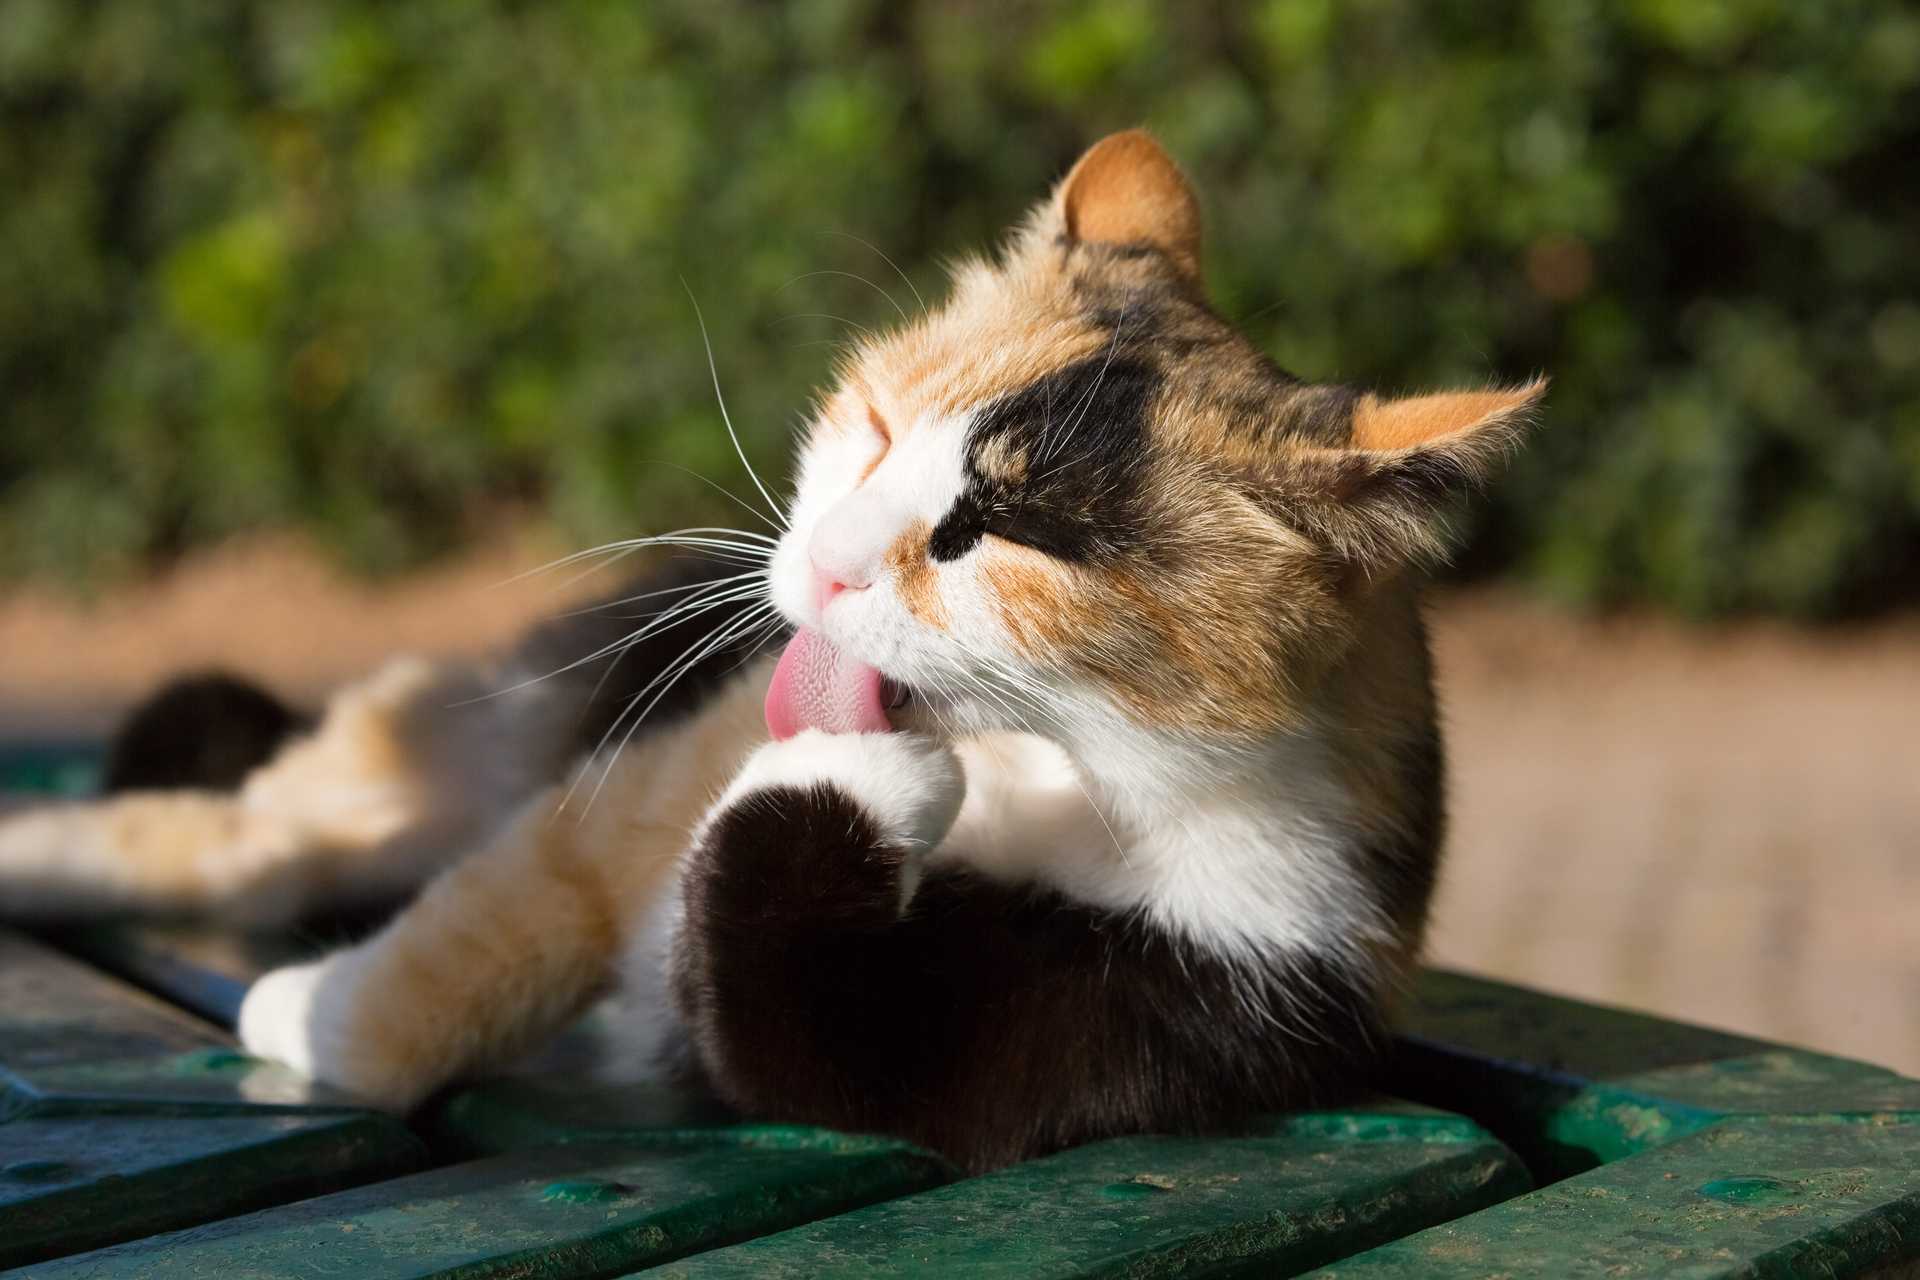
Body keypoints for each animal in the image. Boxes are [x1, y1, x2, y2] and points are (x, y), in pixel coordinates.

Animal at [0, 132, 1536, 1174]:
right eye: (875, 426)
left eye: (1005, 530)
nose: (831, 562)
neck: (1053, 772)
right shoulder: (634, 786)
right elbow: (486, 931)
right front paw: (309, 1015)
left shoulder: (1188, 989)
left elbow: (783, 1014)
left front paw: (870, 786)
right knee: (242, 835)